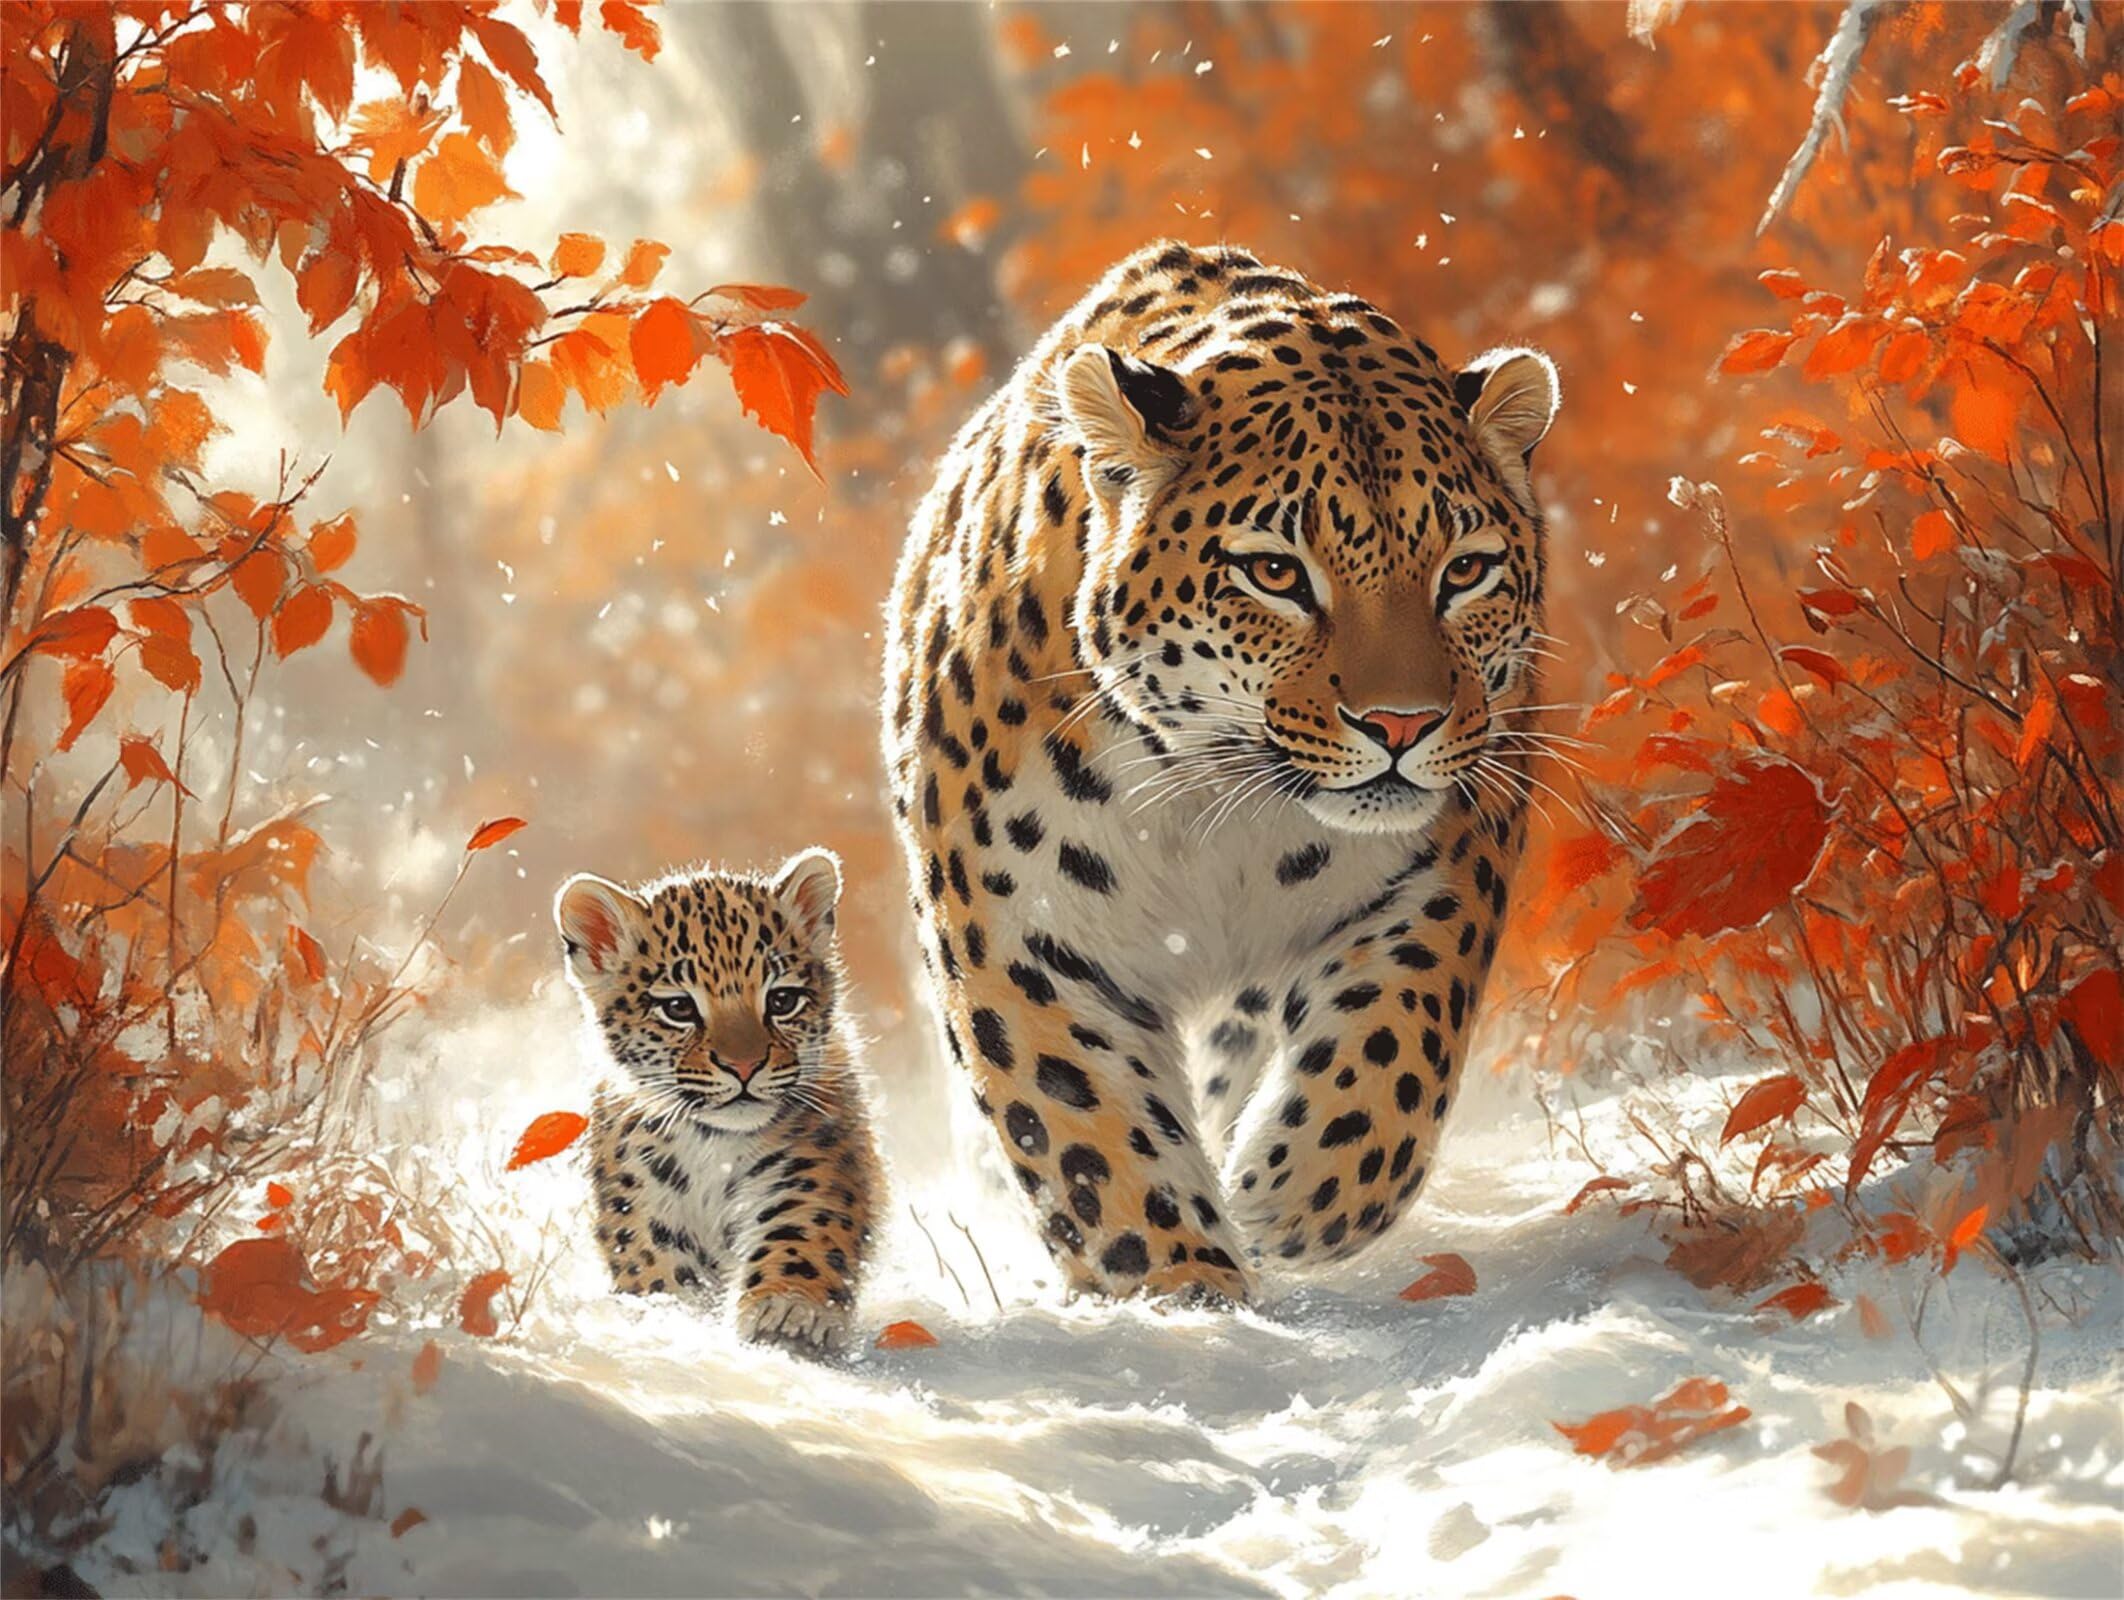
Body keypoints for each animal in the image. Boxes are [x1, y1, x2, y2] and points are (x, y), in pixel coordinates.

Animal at [554, 849, 881, 1354]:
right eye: (679, 1009)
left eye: (782, 1001)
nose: (744, 1067)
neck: (716, 1147)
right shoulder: (642, 1198)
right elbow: (658, 1268)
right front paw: (675, 1318)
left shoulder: (816, 1159)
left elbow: (803, 1228)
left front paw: (788, 1312)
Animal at [882, 240, 1559, 1305]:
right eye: (1275, 573)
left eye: (1465, 572)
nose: (1402, 724)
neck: (1213, 798)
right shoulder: (1017, 928)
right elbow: (1082, 1125)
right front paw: (1175, 1286)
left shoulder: (1451, 856)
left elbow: (1397, 1036)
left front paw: (1297, 1196)